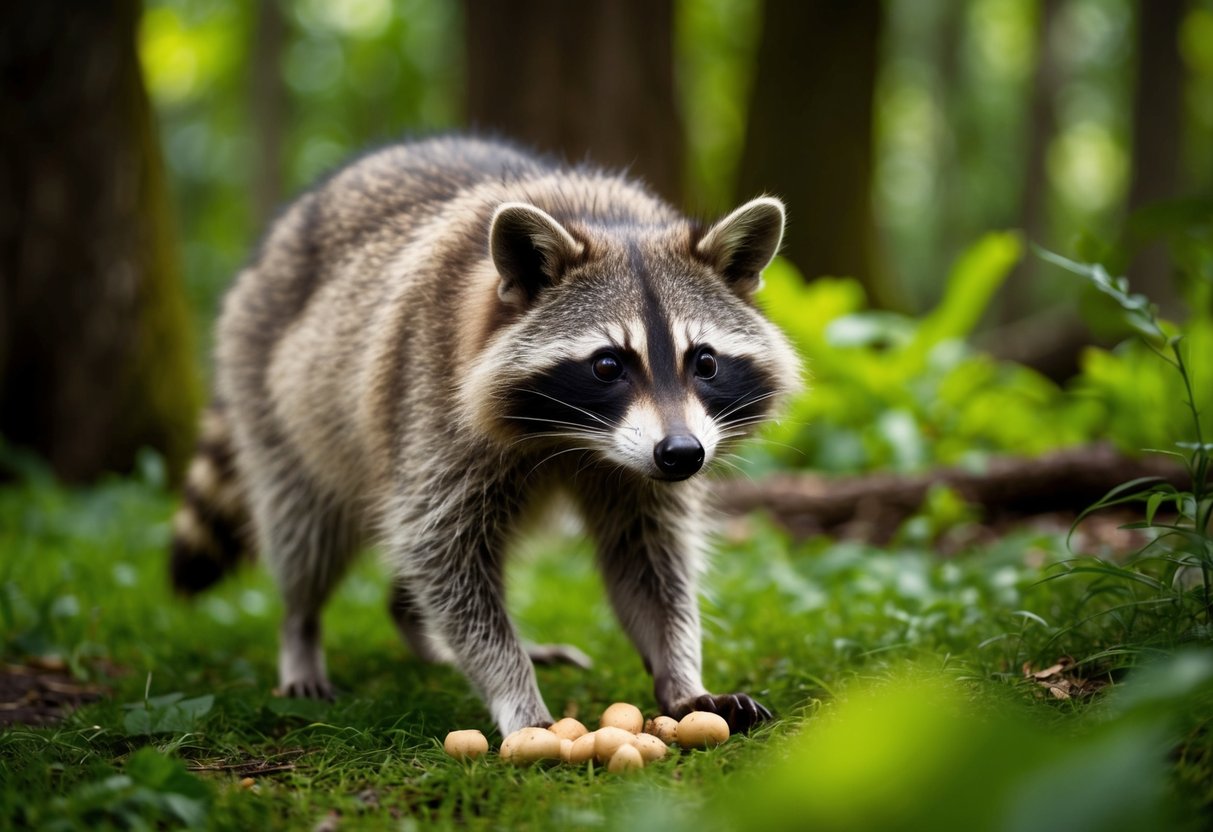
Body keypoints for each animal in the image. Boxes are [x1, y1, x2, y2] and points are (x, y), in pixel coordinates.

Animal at [170, 136, 802, 735]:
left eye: (706, 363)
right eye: (606, 365)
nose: (682, 455)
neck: (575, 440)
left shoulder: (640, 470)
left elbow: (649, 559)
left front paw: (681, 675)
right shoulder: (431, 401)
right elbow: (444, 552)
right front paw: (513, 689)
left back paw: (413, 623)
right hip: (275, 394)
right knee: (306, 527)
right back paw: (301, 630)